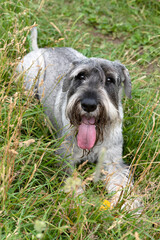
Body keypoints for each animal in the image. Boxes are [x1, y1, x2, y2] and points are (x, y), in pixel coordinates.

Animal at [16, 26, 141, 210]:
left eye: (110, 79)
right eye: (81, 76)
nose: (89, 105)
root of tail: (40, 49)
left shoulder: (113, 161)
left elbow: (122, 184)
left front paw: (131, 206)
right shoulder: (64, 158)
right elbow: (74, 183)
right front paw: (81, 205)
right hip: (30, 79)